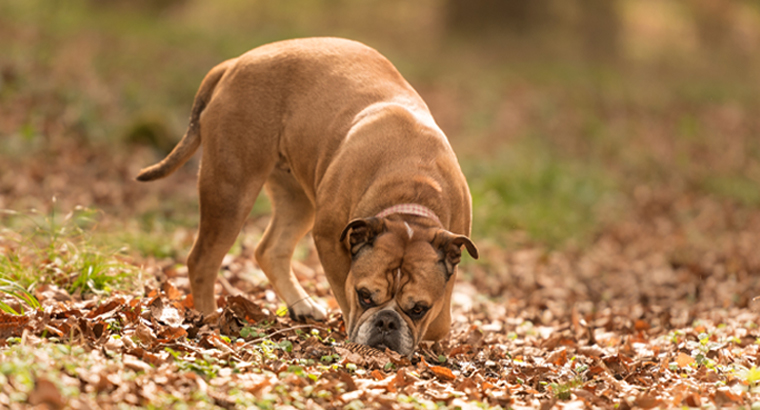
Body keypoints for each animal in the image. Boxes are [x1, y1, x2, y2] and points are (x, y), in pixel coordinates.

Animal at [137, 37, 478, 356]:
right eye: (365, 296)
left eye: (418, 309)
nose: (387, 321)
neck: (413, 189)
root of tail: (234, 64)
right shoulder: (329, 239)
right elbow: (344, 293)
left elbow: (442, 318)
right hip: (230, 190)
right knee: (203, 260)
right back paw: (208, 318)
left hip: (297, 199)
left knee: (270, 249)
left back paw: (301, 305)